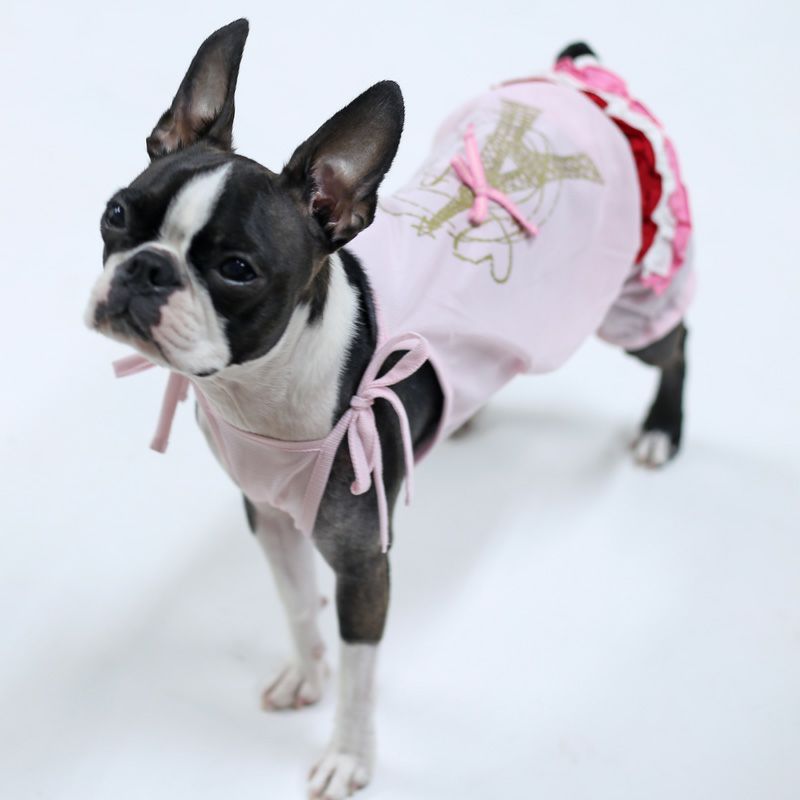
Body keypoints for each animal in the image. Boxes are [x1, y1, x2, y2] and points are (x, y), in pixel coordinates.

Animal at [85, 19, 693, 799]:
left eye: (237, 271)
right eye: (117, 214)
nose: (147, 268)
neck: (271, 384)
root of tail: (581, 80)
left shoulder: (364, 565)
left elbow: (360, 670)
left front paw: (349, 755)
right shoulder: (269, 519)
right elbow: (296, 606)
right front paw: (306, 672)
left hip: (630, 301)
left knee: (675, 343)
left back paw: (660, 432)